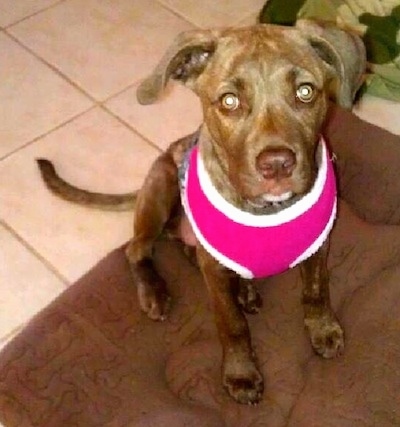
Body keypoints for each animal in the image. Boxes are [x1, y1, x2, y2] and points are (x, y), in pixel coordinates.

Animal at [37, 20, 366, 408]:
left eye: (305, 92)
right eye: (229, 101)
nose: (277, 165)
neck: (268, 211)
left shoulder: (317, 245)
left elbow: (316, 290)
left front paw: (323, 329)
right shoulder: (217, 277)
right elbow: (232, 325)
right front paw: (240, 373)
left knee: (186, 249)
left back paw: (244, 289)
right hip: (161, 186)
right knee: (137, 248)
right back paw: (155, 292)